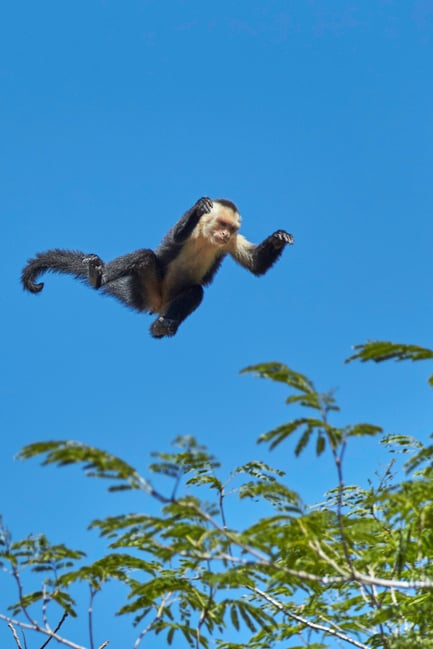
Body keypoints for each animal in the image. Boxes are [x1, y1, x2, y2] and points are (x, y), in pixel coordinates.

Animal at [22, 197, 296, 340]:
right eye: (221, 223)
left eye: (230, 228)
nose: (223, 233)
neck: (208, 237)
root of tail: (157, 303)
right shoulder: (194, 230)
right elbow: (177, 236)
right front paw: (198, 207)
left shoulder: (230, 242)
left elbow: (255, 266)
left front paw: (278, 238)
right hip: (146, 288)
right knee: (145, 256)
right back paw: (98, 277)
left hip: (168, 300)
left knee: (195, 292)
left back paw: (164, 326)